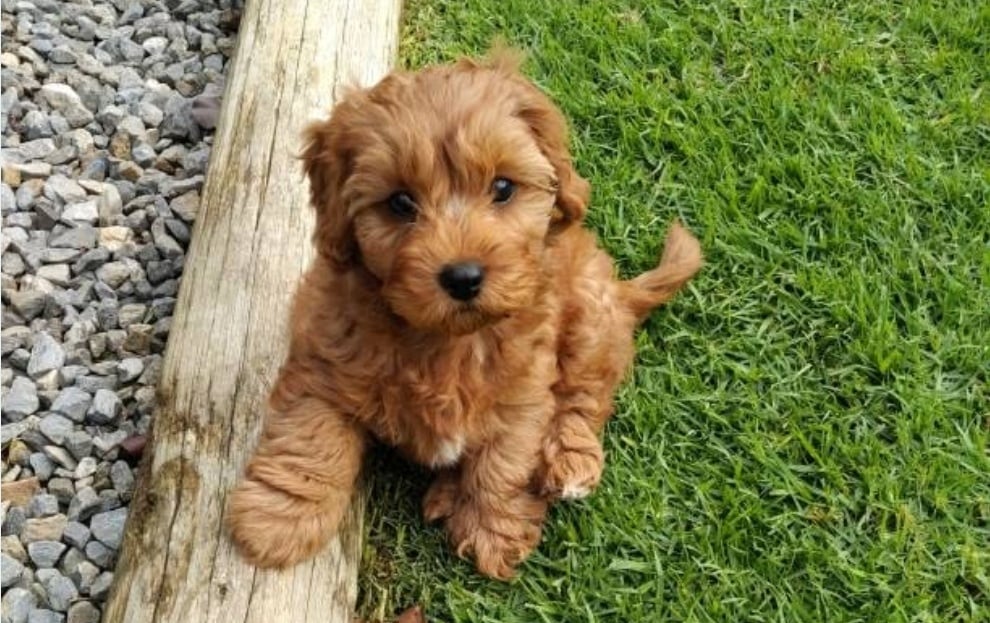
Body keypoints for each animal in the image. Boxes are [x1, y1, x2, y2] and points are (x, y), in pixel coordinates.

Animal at [225, 48, 704, 580]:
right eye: (400, 202)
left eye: (503, 187)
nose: (463, 277)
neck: (446, 342)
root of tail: (622, 292)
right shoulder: (324, 364)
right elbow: (309, 440)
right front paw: (276, 522)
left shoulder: (523, 395)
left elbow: (502, 463)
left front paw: (492, 530)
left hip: (589, 315)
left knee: (584, 398)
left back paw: (567, 463)